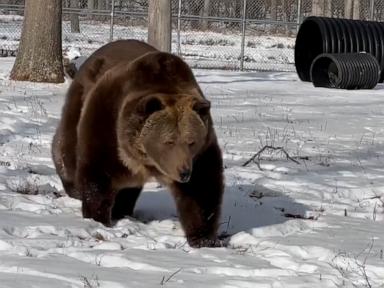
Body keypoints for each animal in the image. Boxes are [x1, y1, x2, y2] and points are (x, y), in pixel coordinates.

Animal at [52, 39, 224, 248]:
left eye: (191, 141)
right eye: (168, 141)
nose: (184, 173)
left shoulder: (200, 153)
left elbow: (201, 189)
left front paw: (203, 238)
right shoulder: (108, 124)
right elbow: (97, 173)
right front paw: (97, 217)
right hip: (79, 102)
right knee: (67, 152)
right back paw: (74, 187)